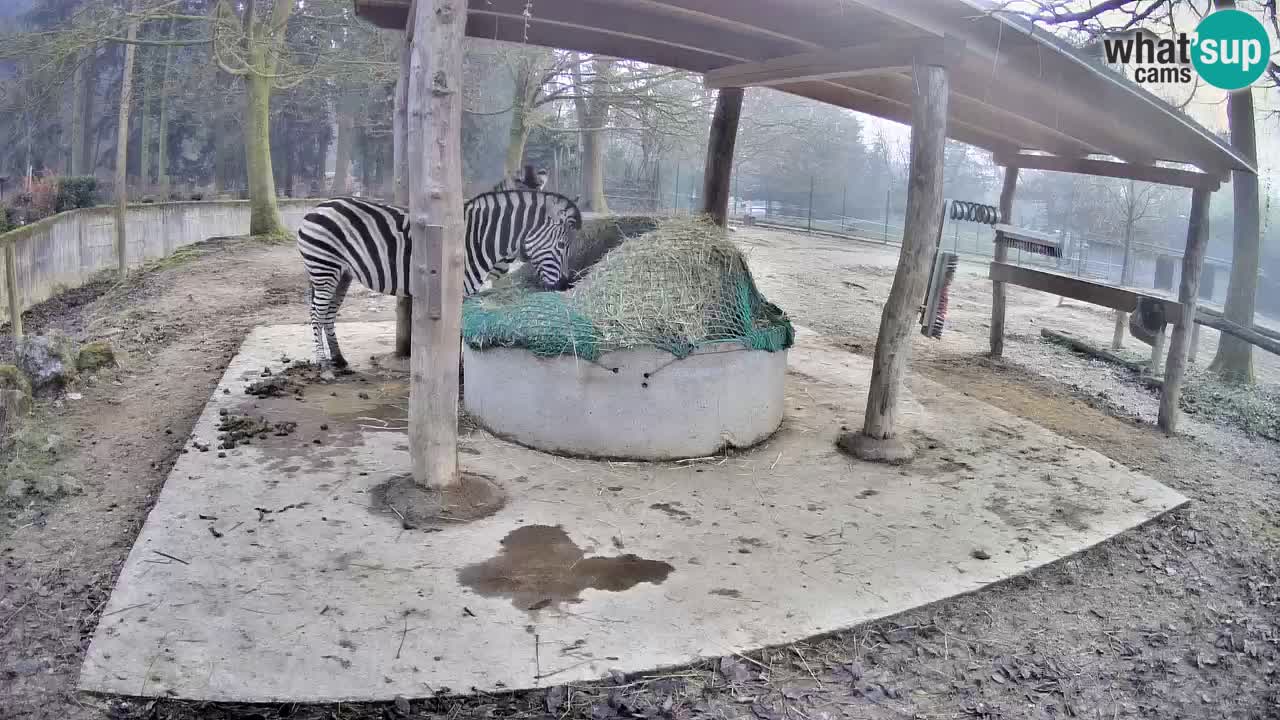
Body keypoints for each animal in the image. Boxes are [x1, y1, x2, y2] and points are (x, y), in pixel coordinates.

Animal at [296, 190, 582, 370]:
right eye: (561, 246)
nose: (564, 285)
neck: (478, 238)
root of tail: (316, 208)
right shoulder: (458, 291)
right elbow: (456, 335)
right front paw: (457, 373)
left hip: (341, 273)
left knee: (328, 313)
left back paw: (339, 359)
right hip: (324, 267)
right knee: (316, 313)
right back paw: (323, 365)